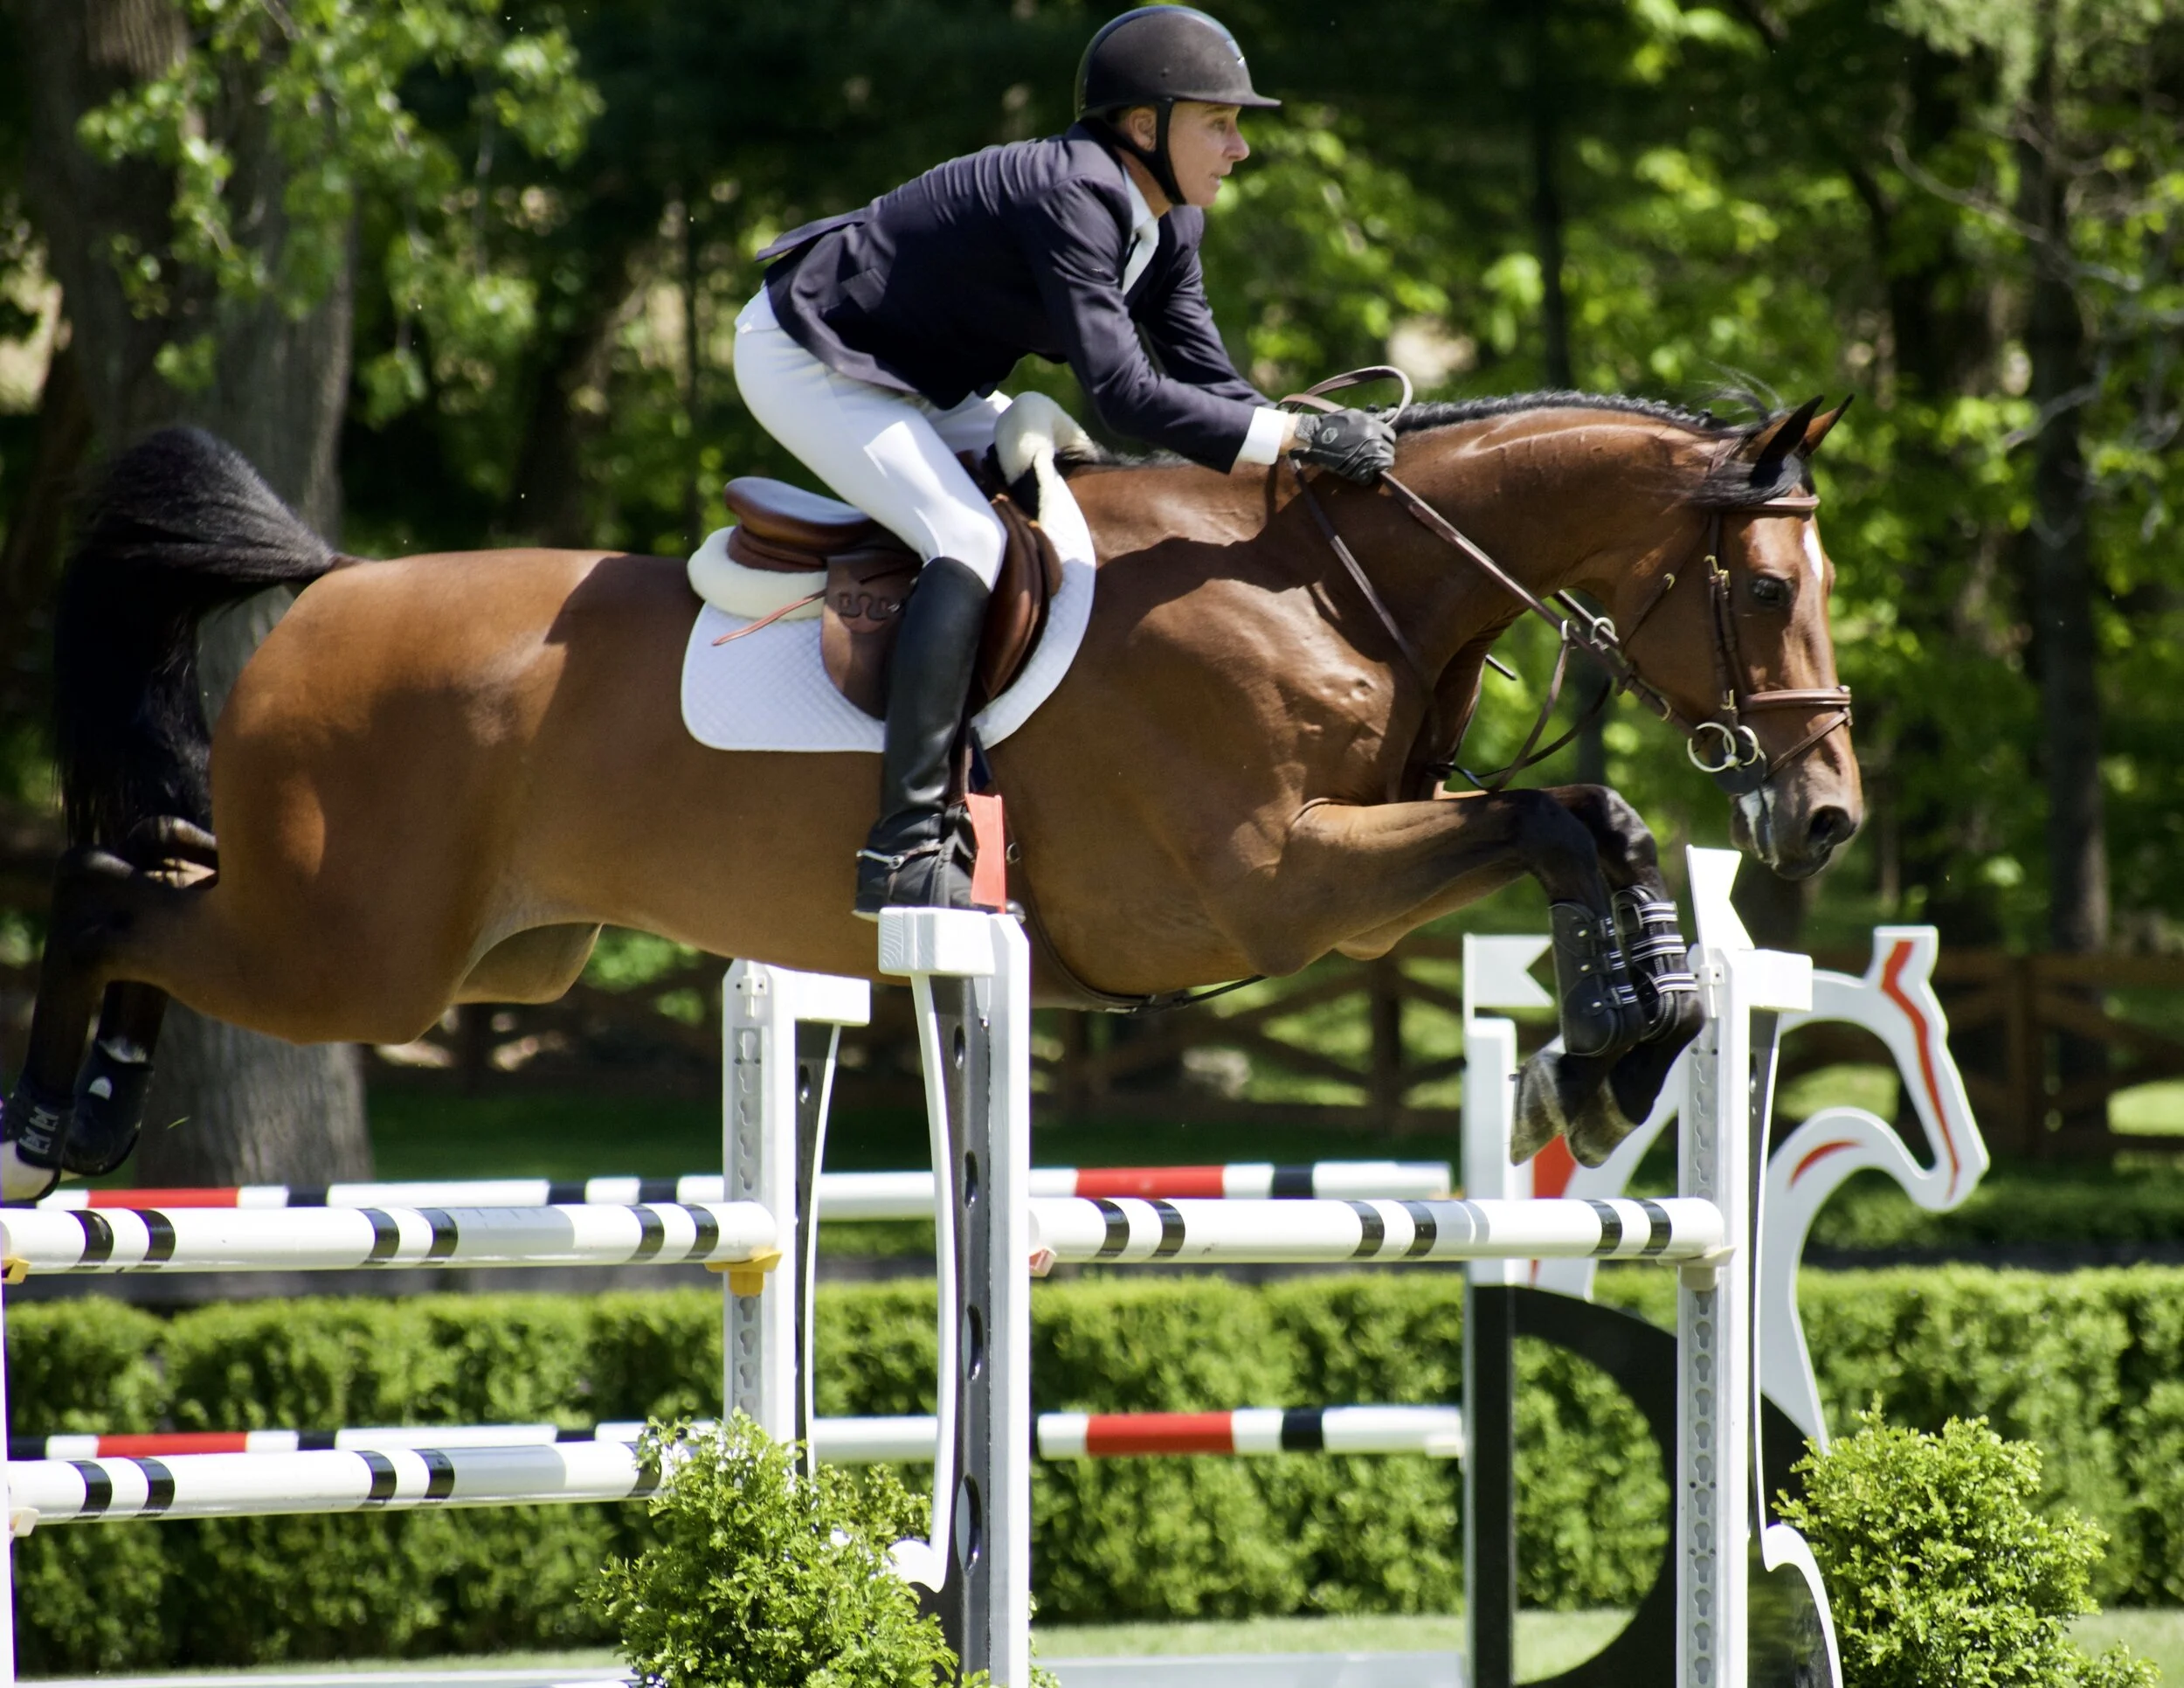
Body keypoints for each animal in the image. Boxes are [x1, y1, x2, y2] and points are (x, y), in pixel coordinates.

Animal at [1, 389, 1860, 1200]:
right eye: (1771, 590)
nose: (1827, 813)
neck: (1327, 582)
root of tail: (325, 587)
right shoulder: (1268, 884)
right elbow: (1558, 819)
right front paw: (1615, 1039)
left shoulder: (1330, 883)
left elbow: (1592, 824)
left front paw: (1626, 1043)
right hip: (355, 951)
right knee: (108, 894)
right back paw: (46, 1128)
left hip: (487, 957)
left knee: (153, 887)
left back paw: (87, 1112)